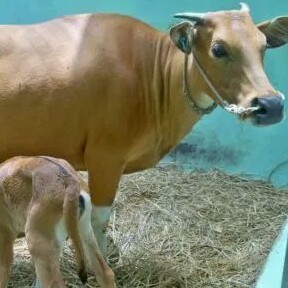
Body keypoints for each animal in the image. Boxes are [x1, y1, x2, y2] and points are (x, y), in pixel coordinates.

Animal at [0, 3, 286, 253]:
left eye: (264, 46)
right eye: (218, 49)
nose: (271, 104)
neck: (152, 73)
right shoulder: (105, 157)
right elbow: (99, 220)